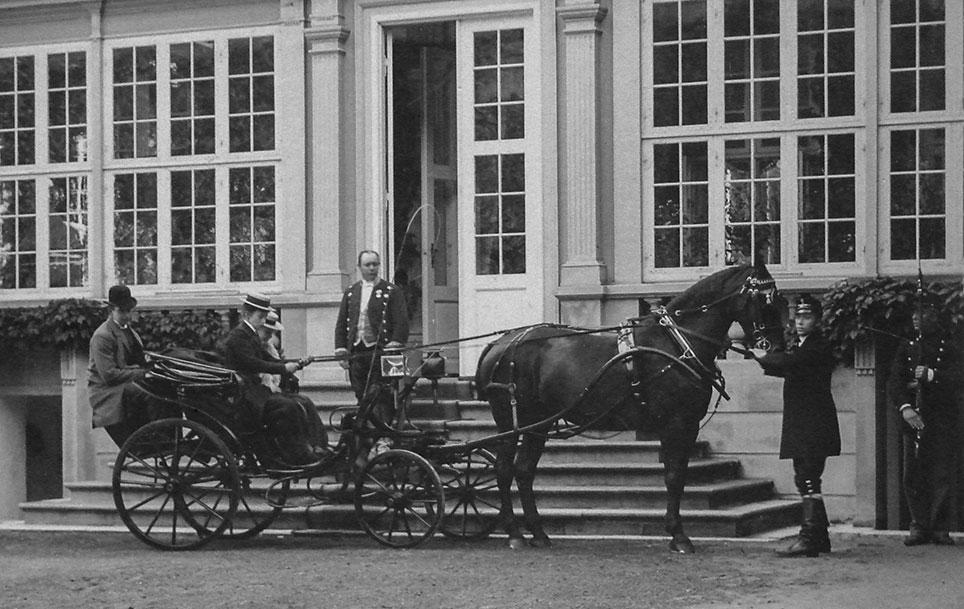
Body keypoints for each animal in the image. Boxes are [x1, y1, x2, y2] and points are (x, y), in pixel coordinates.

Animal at [478, 260, 788, 552]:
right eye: (766, 300)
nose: (778, 349)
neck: (676, 344)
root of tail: (501, 342)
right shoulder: (676, 424)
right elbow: (674, 477)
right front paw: (678, 535)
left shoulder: (688, 425)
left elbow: (678, 475)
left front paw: (675, 531)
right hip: (510, 421)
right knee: (504, 469)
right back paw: (515, 533)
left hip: (537, 424)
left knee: (524, 470)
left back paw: (538, 533)